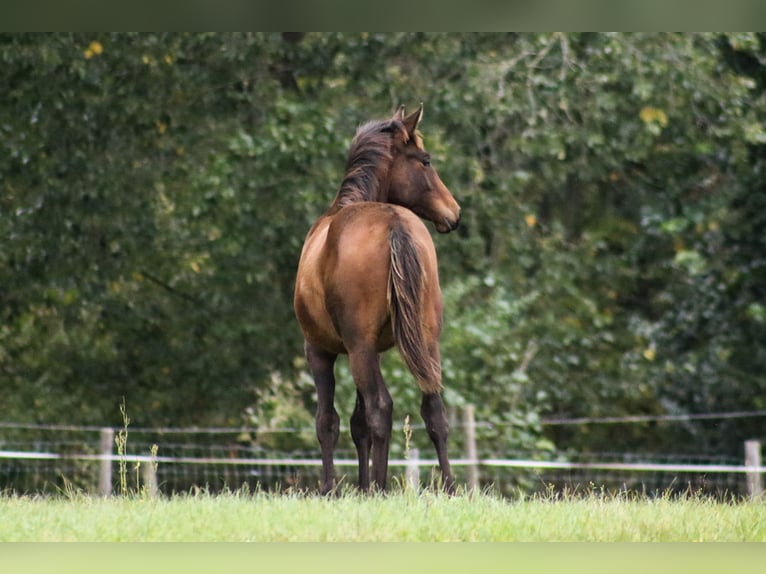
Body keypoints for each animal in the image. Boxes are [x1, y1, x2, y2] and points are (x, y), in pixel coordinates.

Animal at [294, 104, 462, 496]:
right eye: (426, 161)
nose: (455, 213)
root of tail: (394, 224)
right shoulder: (374, 350)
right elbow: (358, 425)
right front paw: (359, 484)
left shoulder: (320, 350)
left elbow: (330, 421)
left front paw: (332, 488)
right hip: (424, 340)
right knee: (433, 408)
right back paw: (448, 487)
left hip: (358, 349)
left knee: (380, 408)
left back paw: (380, 488)